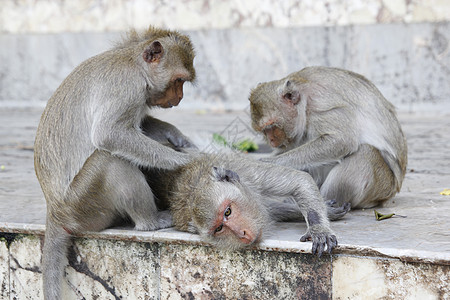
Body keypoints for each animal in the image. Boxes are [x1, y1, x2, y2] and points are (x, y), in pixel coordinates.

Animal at [34, 27, 196, 298]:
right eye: (178, 81)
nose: (181, 97)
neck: (135, 63)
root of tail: (54, 211)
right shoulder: (128, 88)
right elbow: (109, 134)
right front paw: (183, 159)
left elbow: (140, 125)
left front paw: (177, 136)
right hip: (82, 205)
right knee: (108, 159)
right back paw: (151, 222)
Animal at [250, 67, 408, 210]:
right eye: (263, 131)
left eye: (272, 127)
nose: (271, 141)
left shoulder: (320, 105)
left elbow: (342, 140)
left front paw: (269, 163)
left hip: (382, 186)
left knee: (364, 153)